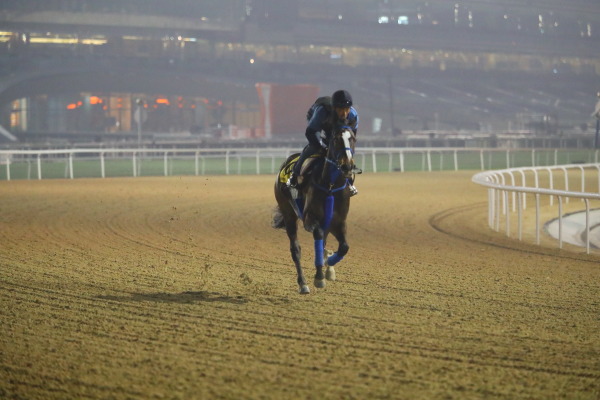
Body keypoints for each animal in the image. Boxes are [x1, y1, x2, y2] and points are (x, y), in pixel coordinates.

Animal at [274, 127, 358, 294]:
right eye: (336, 140)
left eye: (352, 139)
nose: (347, 167)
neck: (331, 186)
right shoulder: (310, 220)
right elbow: (318, 235)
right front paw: (319, 276)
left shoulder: (338, 222)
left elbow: (344, 247)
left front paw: (329, 263)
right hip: (288, 215)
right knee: (296, 250)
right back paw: (303, 284)